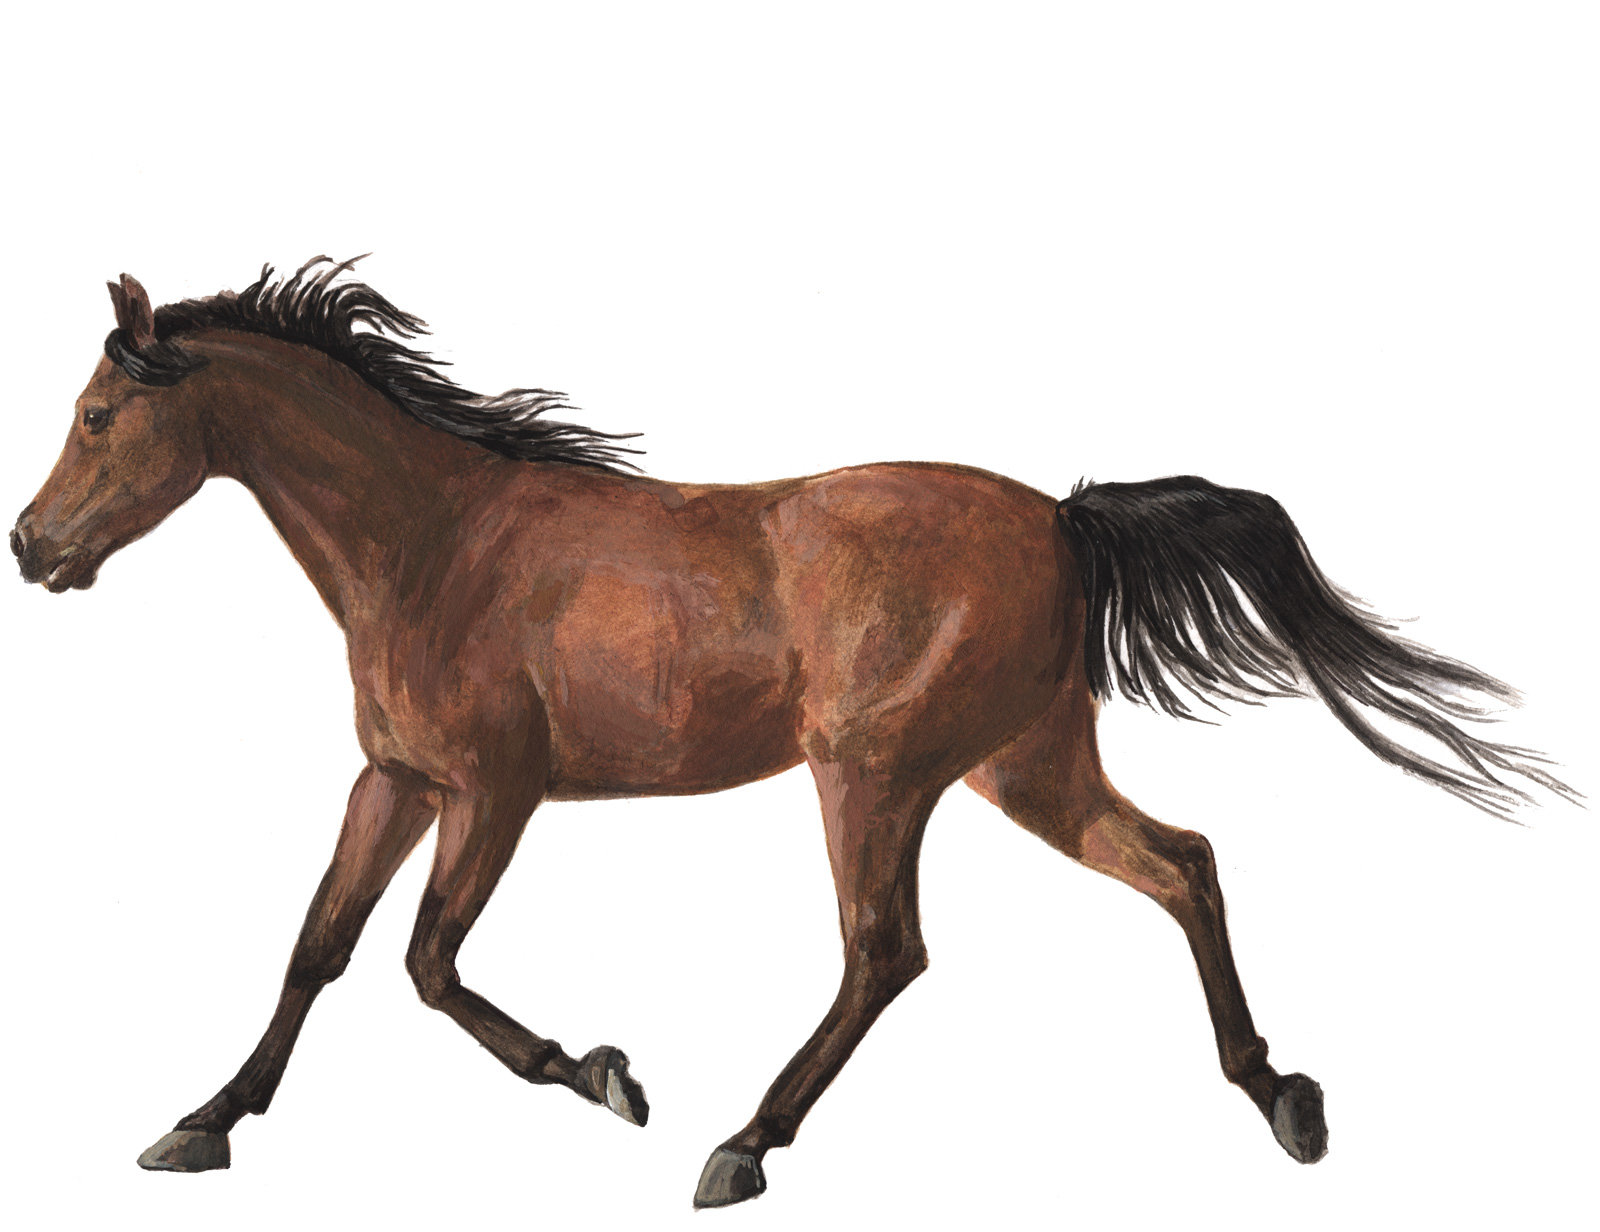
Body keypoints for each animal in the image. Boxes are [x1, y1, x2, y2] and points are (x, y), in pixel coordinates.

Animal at [12, 258, 1573, 1208]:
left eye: (95, 415)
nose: (30, 547)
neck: (434, 539)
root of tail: (1062, 518)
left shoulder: (496, 791)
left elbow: (427, 962)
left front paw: (607, 1077)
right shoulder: (393, 779)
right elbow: (318, 947)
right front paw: (202, 1123)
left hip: (873, 772)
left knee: (888, 949)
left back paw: (741, 1142)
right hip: (1025, 765)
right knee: (1180, 862)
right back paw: (1283, 1098)